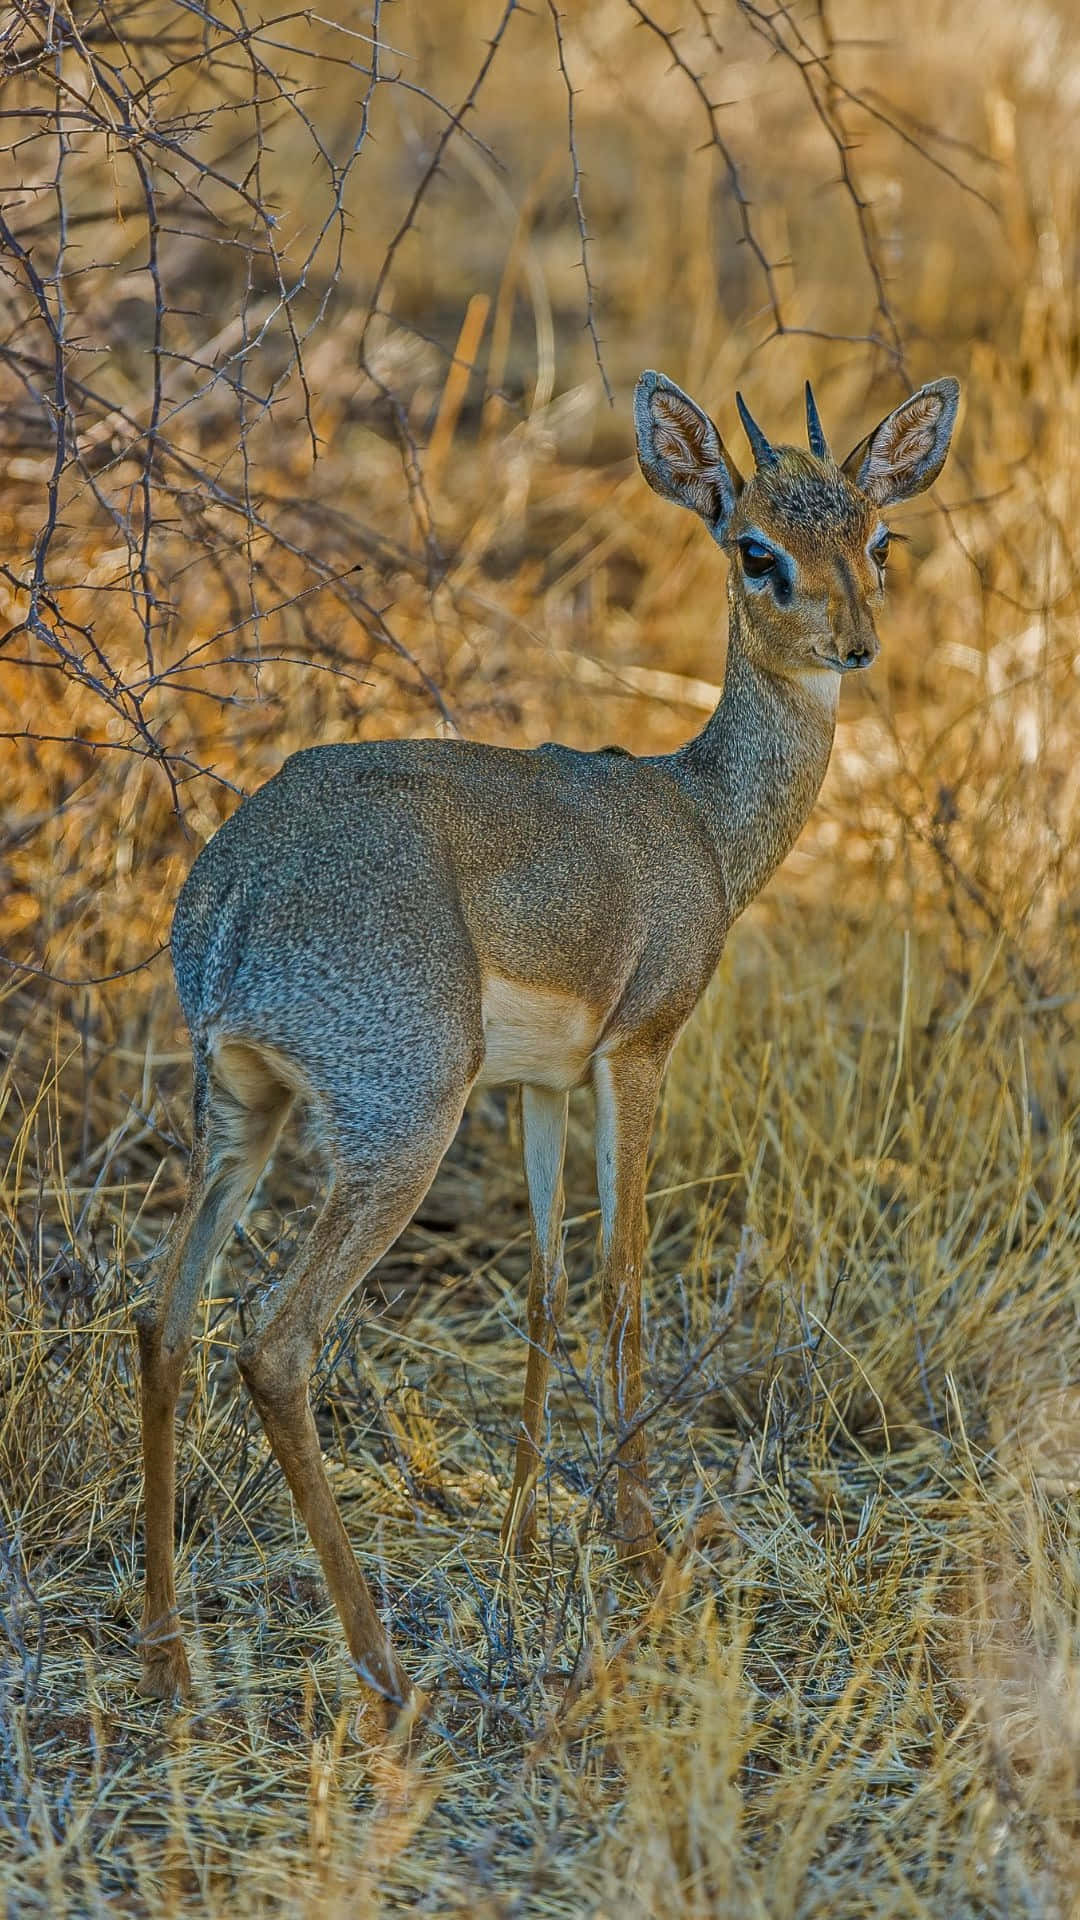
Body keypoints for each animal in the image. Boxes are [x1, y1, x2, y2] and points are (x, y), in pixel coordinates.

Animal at [132, 362, 949, 1728]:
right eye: (757, 550)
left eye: (877, 538)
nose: (856, 646)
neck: (700, 819)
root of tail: (232, 898)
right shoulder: (640, 1053)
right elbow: (622, 1279)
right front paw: (643, 1544)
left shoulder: (539, 1090)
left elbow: (549, 1288)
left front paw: (519, 1536)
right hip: (402, 1124)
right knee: (274, 1343)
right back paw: (385, 1672)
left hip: (241, 1111)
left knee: (163, 1318)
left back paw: (169, 1654)